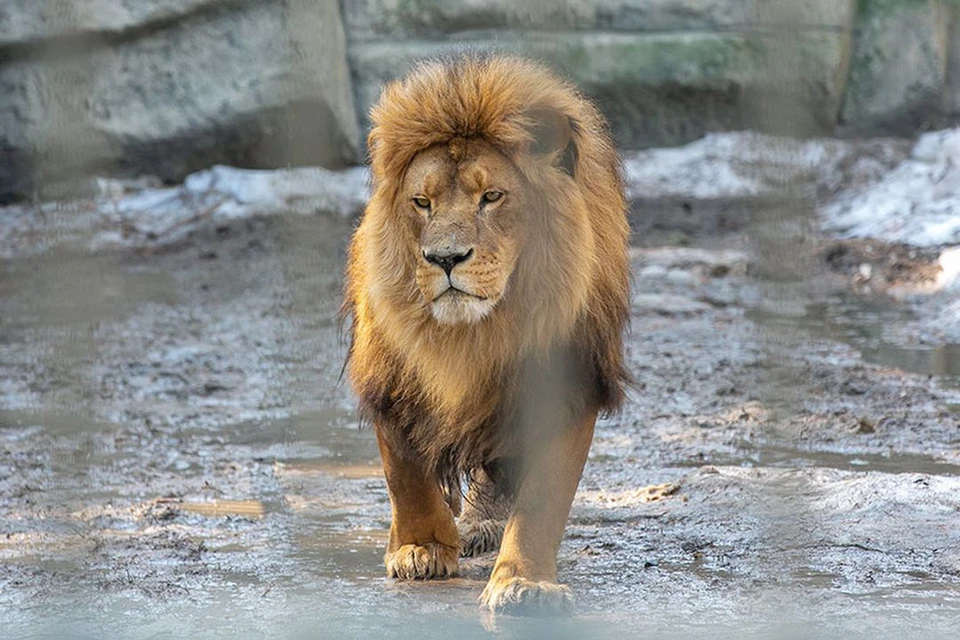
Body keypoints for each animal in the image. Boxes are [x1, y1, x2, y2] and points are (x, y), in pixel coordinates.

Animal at [344, 56, 632, 616]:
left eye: (492, 196)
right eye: (422, 202)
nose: (445, 258)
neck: (476, 332)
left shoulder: (568, 381)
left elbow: (542, 499)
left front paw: (523, 581)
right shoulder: (390, 373)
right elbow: (405, 472)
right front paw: (420, 548)